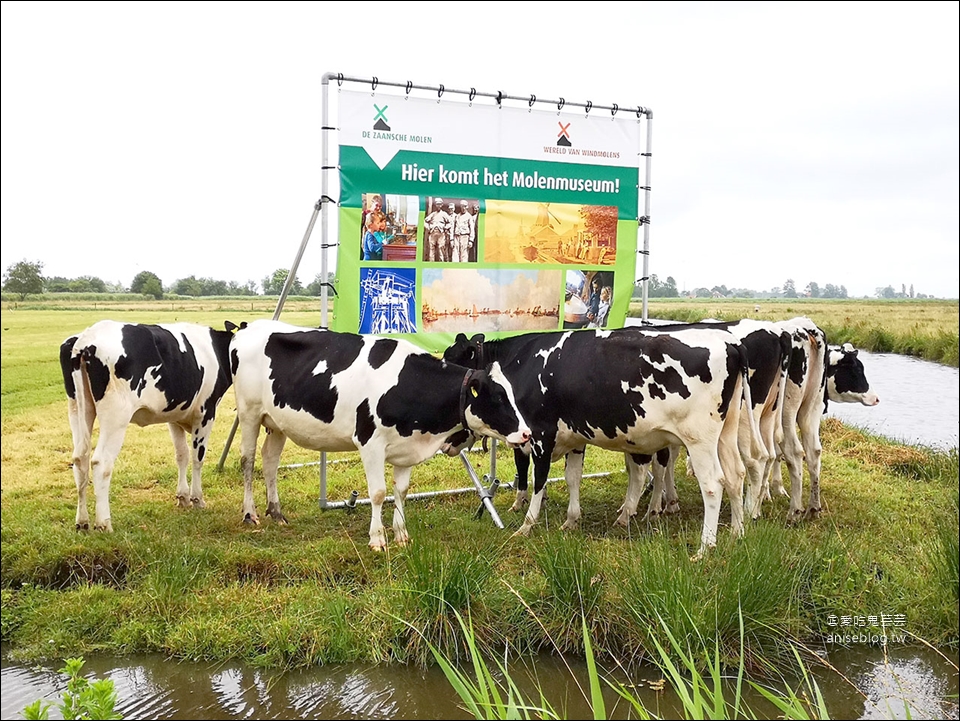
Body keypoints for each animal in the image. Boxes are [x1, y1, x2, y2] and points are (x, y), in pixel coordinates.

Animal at [60, 320, 238, 528]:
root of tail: (86, 339)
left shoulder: (175, 415)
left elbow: (182, 455)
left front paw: (183, 497)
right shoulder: (205, 413)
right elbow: (197, 457)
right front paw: (197, 499)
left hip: (78, 409)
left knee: (80, 458)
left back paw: (82, 522)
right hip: (116, 416)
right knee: (101, 462)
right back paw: (104, 523)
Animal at [231, 320, 532, 552]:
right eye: (497, 397)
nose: (526, 433)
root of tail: (247, 328)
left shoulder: (407, 446)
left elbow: (401, 491)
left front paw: (401, 535)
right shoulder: (370, 443)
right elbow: (378, 493)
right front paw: (377, 539)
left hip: (277, 422)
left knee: (270, 461)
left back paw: (276, 513)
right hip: (249, 413)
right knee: (248, 460)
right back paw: (250, 514)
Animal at [446, 326, 752, 556]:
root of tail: (729, 342)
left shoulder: (541, 435)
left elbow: (538, 480)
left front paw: (527, 525)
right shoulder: (575, 437)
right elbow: (573, 478)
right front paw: (571, 520)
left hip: (699, 439)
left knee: (713, 484)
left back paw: (705, 547)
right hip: (726, 432)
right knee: (736, 474)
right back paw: (737, 533)